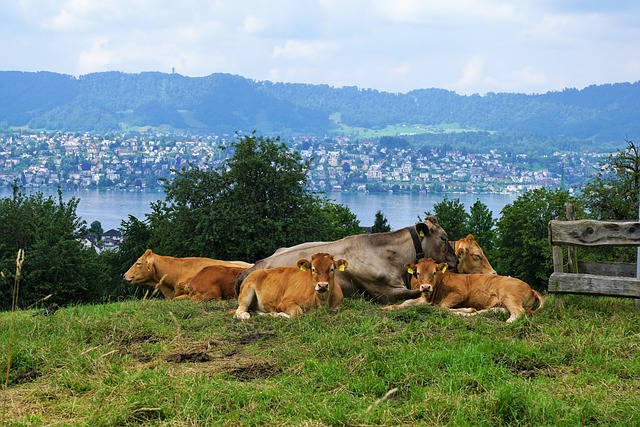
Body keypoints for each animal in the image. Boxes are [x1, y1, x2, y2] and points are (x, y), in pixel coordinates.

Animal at [382, 258, 544, 324]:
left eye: (434, 272)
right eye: (417, 273)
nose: (426, 287)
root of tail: (531, 288)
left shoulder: (459, 293)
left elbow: (441, 307)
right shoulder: (423, 298)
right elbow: (407, 302)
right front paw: (388, 308)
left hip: (509, 295)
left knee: (518, 312)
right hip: (501, 304)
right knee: (495, 311)